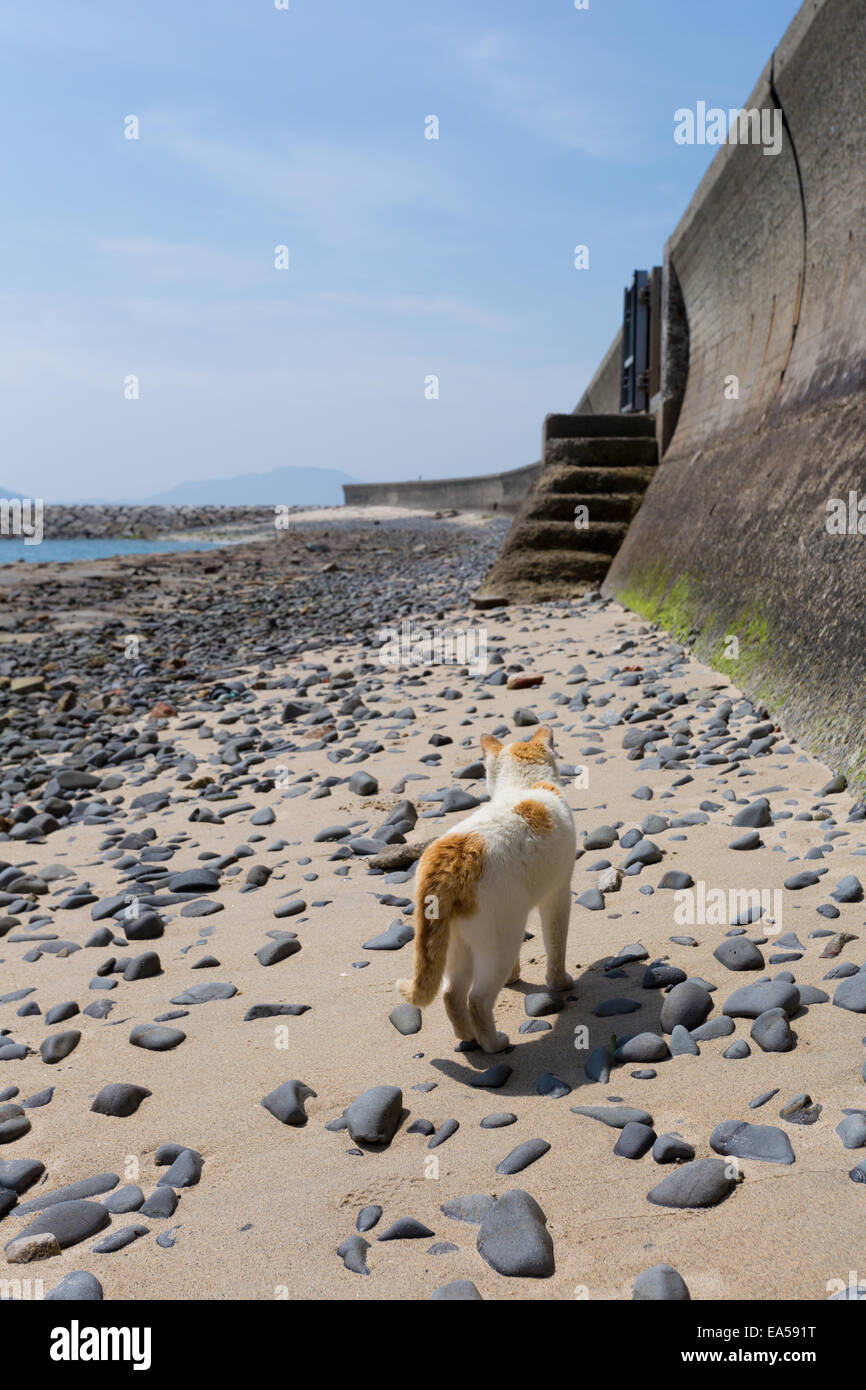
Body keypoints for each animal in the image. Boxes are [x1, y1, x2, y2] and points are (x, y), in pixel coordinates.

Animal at [397, 728, 575, 1050]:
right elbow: (556, 947)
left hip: (457, 942)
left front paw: (514, 979)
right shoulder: (557, 895)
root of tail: (451, 854)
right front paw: (561, 983)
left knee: (451, 993)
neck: (522, 784)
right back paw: (494, 1043)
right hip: (500, 939)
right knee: (477, 1000)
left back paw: (468, 1036)